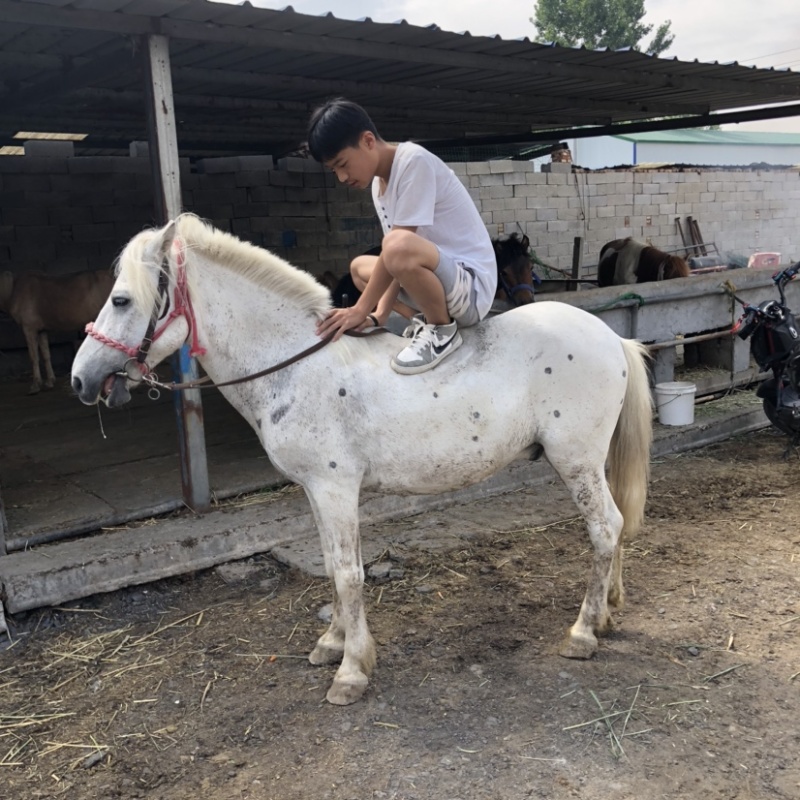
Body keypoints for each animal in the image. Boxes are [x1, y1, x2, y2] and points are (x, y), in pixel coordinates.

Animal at [71, 214, 653, 706]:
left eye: (121, 300)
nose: (80, 379)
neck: (295, 364)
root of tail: (611, 336)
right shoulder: (315, 490)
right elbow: (331, 566)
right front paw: (332, 643)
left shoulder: (335, 489)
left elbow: (350, 574)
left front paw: (350, 671)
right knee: (615, 525)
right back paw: (607, 610)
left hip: (574, 460)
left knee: (605, 527)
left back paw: (583, 632)